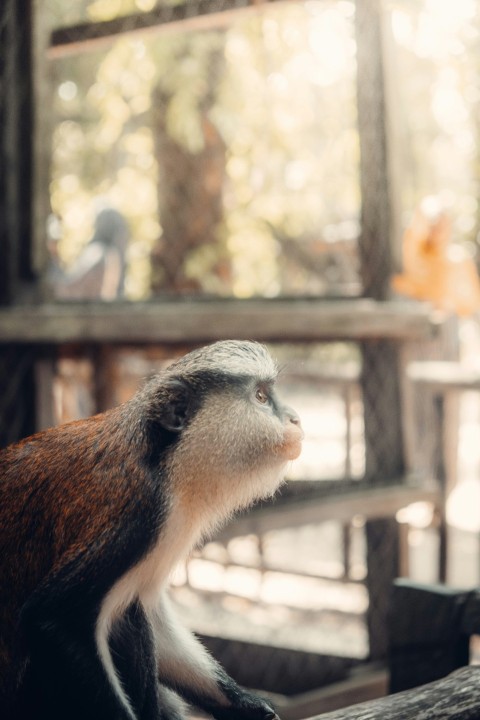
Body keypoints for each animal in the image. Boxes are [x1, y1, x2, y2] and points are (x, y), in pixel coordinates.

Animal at [0, 340, 300, 720]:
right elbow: (52, 617)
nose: (295, 418)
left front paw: (248, 706)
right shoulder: (140, 512)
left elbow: (150, 611)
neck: (166, 459)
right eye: (261, 396)